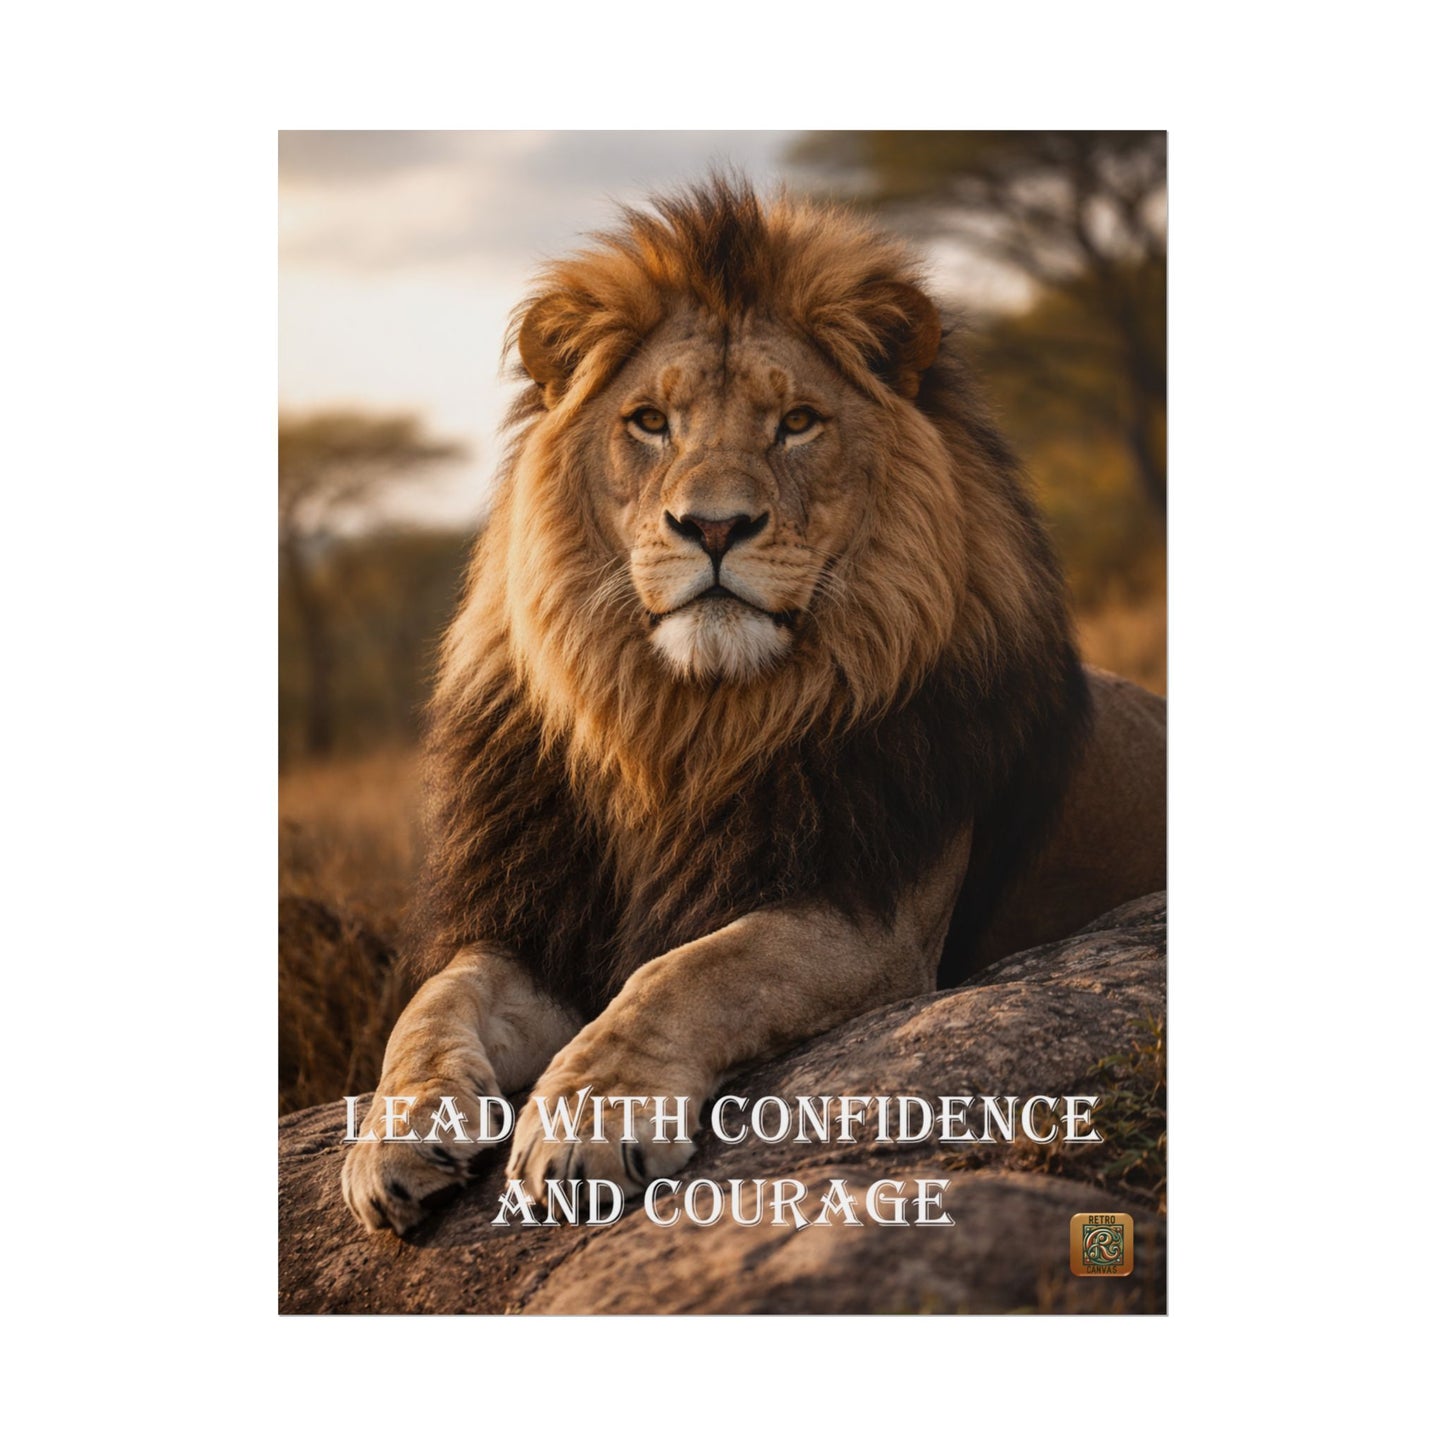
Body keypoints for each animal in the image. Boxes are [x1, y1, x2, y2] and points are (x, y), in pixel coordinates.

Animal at [340, 179, 1165, 1234]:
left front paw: (587, 1121)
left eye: (798, 422)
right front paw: (392, 1135)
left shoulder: (870, 915)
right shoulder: (543, 921)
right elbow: (435, 999)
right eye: (651, 421)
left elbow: (691, 969)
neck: (687, 728)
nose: (714, 526)